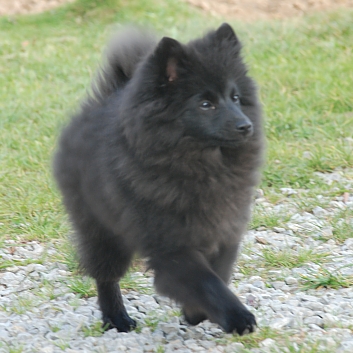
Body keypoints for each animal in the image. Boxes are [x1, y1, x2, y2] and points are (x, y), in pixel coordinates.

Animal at [53, 23, 262, 334]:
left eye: (235, 98)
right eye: (205, 104)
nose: (245, 126)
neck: (201, 164)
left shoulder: (226, 227)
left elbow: (219, 272)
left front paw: (195, 313)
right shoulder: (169, 242)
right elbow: (205, 281)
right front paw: (236, 316)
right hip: (101, 229)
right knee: (106, 275)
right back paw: (116, 317)